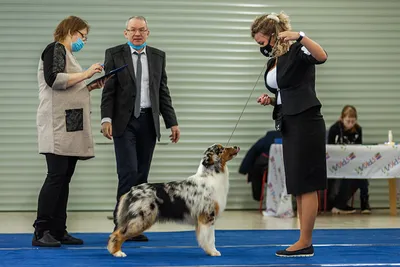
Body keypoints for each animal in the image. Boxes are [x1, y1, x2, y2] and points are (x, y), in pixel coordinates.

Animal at [106, 143, 241, 258]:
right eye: (221, 149)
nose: (236, 146)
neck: (211, 175)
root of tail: (131, 191)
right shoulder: (207, 216)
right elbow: (210, 238)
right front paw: (213, 252)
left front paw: (209, 251)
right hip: (141, 218)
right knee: (118, 234)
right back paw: (117, 253)